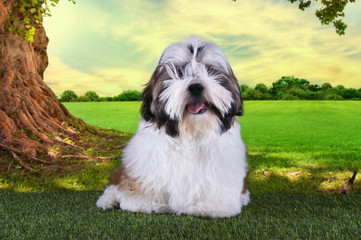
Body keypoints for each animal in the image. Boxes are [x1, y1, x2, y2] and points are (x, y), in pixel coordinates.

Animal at [95, 36, 248, 219]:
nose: (196, 86)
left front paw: (211, 207)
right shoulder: (147, 163)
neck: (191, 132)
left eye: (210, 71)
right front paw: (146, 203)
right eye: (179, 73)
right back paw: (107, 200)